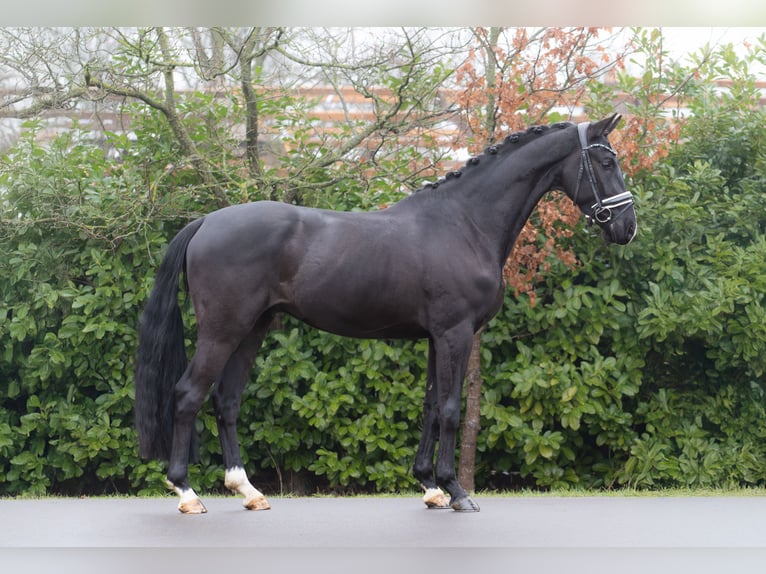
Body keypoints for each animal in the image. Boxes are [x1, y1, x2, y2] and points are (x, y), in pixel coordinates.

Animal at [134, 113, 637, 514]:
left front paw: (431, 487)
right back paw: (186, 492)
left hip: (253, 329)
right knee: (188, 395)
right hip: (223, 330)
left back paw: (248, 491)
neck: (464, 222)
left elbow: (431, 406)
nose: (626, 227)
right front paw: (457, 491)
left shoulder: (436, 337)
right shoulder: (455, 333)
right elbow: (451, 408)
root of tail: (206, 222)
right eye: (606, 162)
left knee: (226, 401)